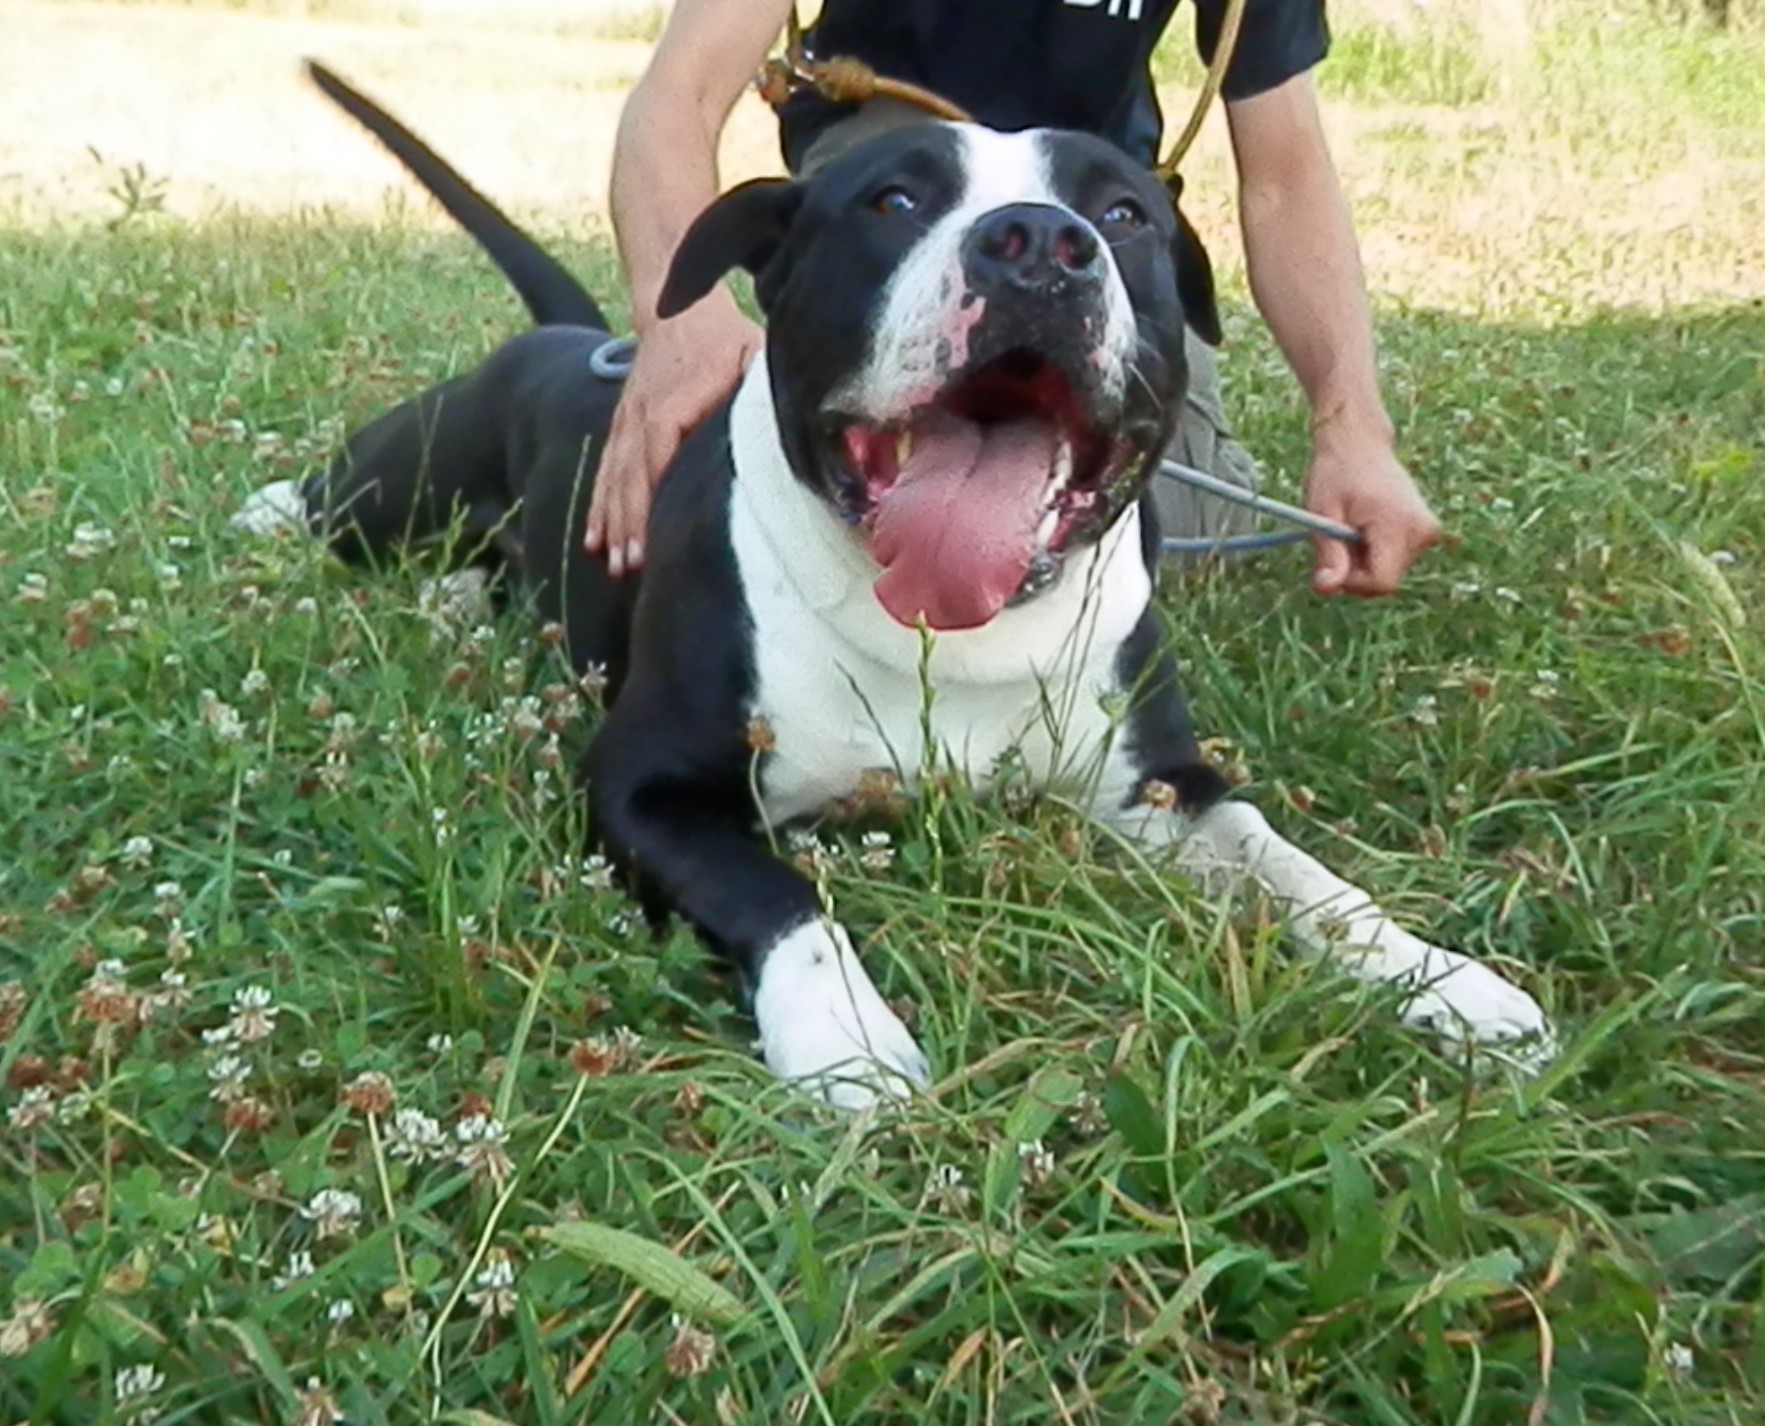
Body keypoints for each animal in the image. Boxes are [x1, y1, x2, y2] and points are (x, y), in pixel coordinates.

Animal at [235, 63, 1555, 1107]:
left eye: (1122, 210)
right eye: (894, 198)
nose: (1037, 243)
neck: (957, 628)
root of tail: (576, 337)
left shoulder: (1164, 787)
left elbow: (1299, 871)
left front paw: (1446, 981)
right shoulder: (646, 786)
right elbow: (784, 896)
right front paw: (847, 1039)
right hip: (401, 480)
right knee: (338, 498)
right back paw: (273, 516)